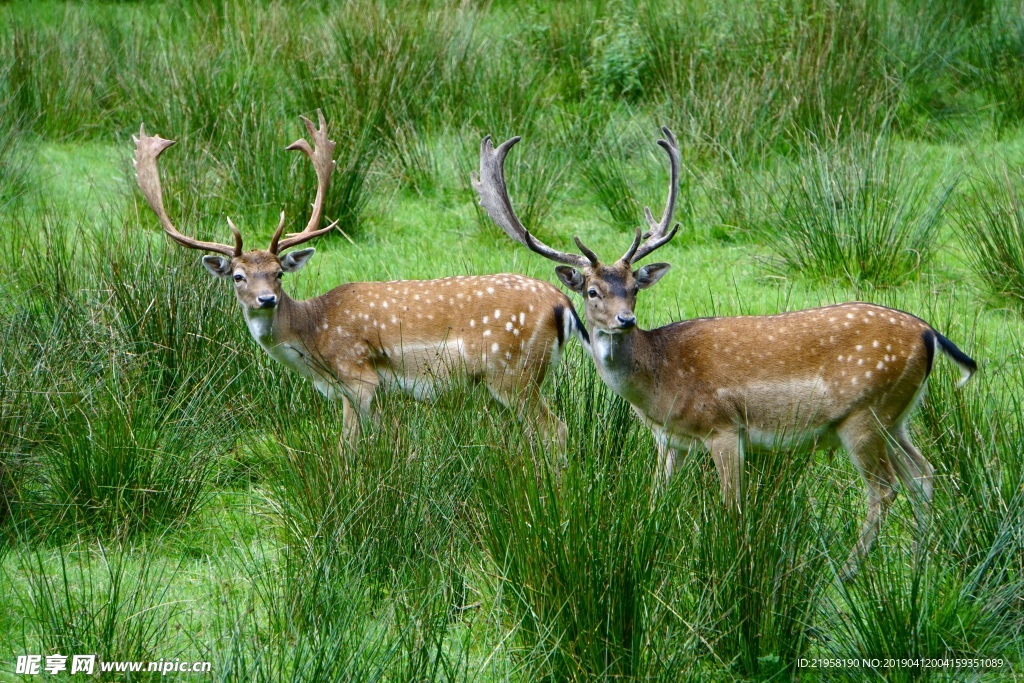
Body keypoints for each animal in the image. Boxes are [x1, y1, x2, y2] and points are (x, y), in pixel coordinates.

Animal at [132, 111, 589, 454]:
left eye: (278, 273)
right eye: (239, 276)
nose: (265, 300)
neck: (314, 342)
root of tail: (563, 304)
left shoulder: (358, 378)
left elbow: (347, 448)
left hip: (514, 374)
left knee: (556, 429)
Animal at [475, 126, 978, 573]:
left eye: (634, 288)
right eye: (593, 291)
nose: (626, 320)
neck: (660, 384)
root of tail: (929, 333)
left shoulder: (724, 428)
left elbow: (732, 508)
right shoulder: (670, 441)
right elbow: (656, 502)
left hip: (864, 414)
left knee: (885, 490)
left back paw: (847, 573)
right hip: (897, 416)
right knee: (925, 474)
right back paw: (918, 567)